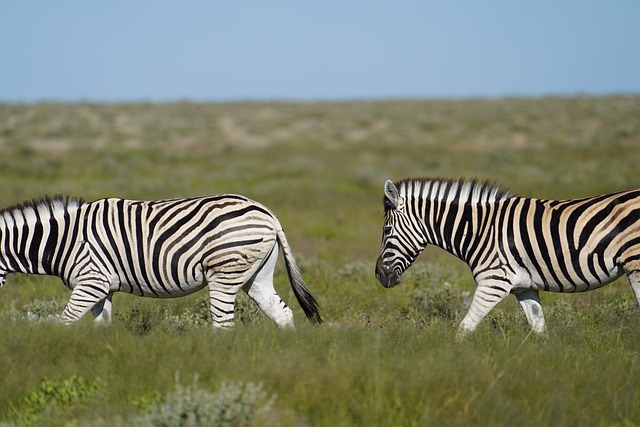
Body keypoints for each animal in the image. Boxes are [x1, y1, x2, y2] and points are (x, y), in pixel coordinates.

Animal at [0, 194, 322, 327]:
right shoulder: (102, 288)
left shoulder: (91, 282)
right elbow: (101, 326)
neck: (62, 239)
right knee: (282, 313)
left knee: (224, 324)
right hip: (257, 274)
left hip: (224, 272)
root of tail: (268, 213)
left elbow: (64, 321)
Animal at [375, 177, 640, 335]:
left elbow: (465, 328)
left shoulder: (494, 283)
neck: (479, 229)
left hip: (635, 266)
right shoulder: (525, 287)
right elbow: (539, 329)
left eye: (386, 230)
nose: (378, 275)